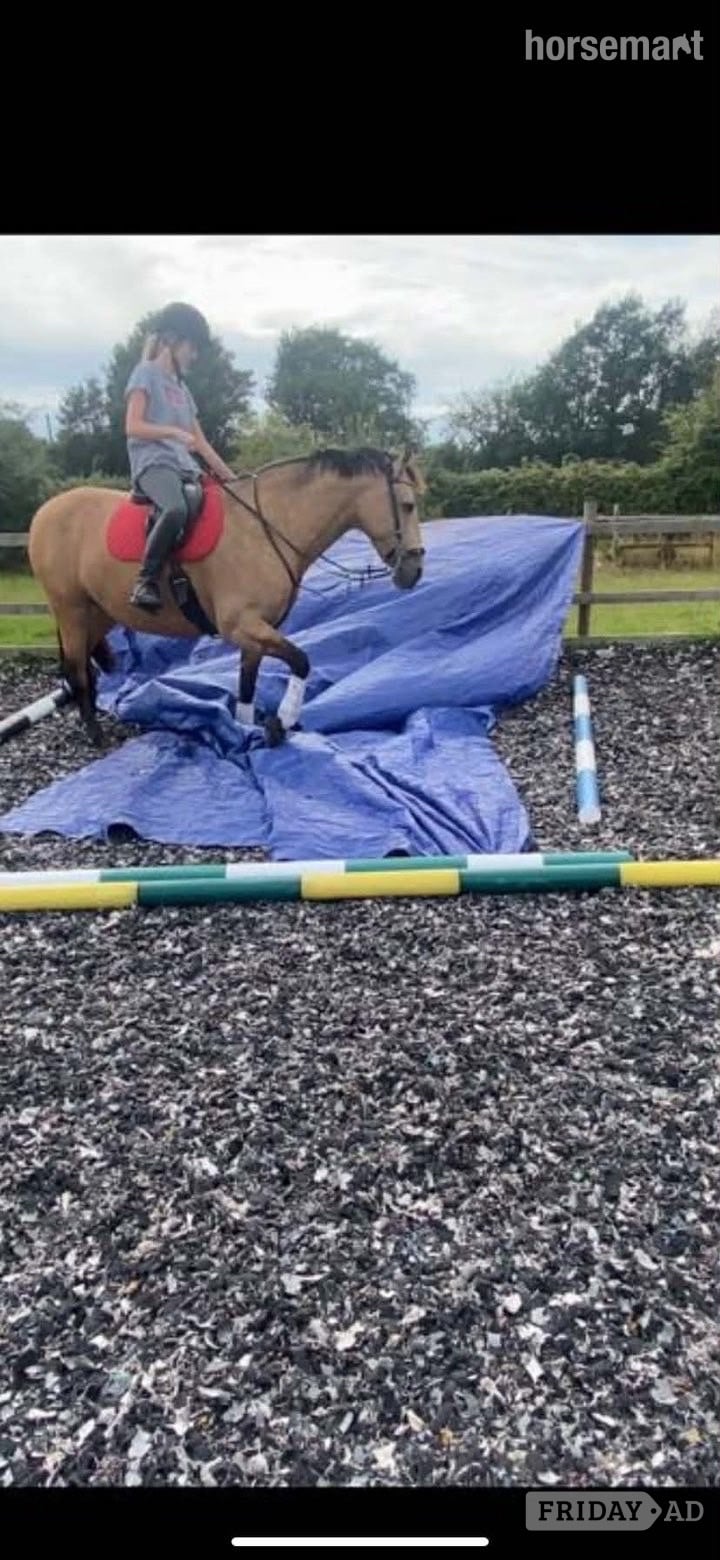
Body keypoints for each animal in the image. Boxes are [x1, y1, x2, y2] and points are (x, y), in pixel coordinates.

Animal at [27, 446, 426, 747]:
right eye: (407, 505)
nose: (415, 570)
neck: (267, 527)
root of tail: (46, 510)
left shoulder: (257, 633)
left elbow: (247, 684)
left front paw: (246, 729)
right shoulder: (242, 626)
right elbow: (301, 661)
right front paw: (282, 721)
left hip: (98, 612)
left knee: (84, 667)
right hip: (71, 609)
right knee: (76, 668)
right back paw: (94, 733)